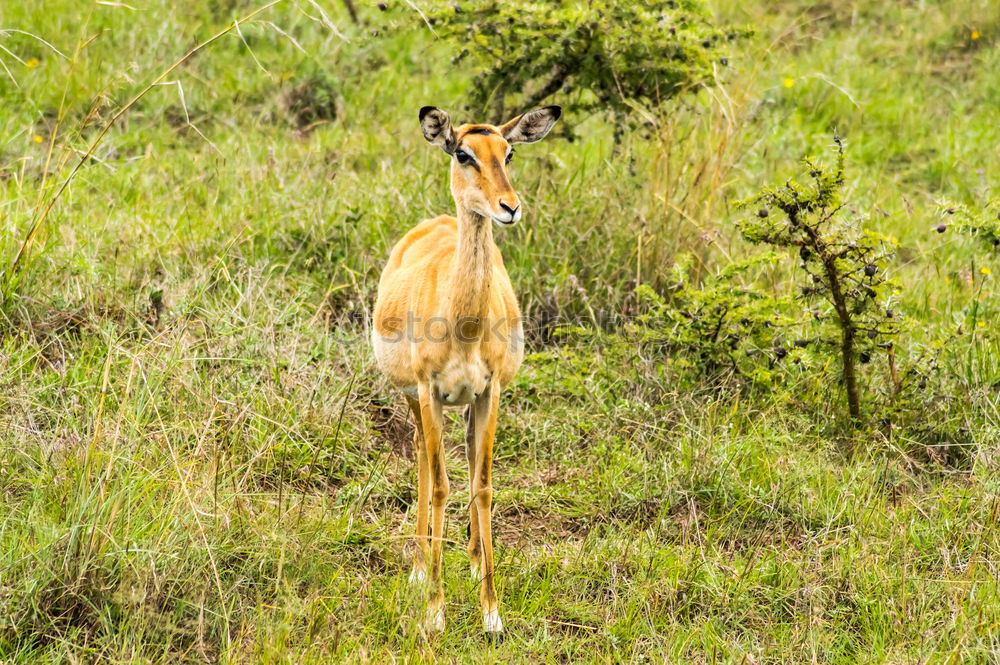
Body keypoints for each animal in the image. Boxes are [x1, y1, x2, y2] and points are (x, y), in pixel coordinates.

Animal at [370, 104, 560, 632]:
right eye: (462, 153)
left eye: (509, 153)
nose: (508, 207)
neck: (464, 323)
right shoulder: (430, 391)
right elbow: (440, 486)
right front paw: (434, 611)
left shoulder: (489, 392)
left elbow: (484, 485)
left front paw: (492, 612)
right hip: (413, 399)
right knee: (422, 459)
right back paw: (419, 567)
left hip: (469, 405)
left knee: (470, 465)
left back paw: (474, 561)